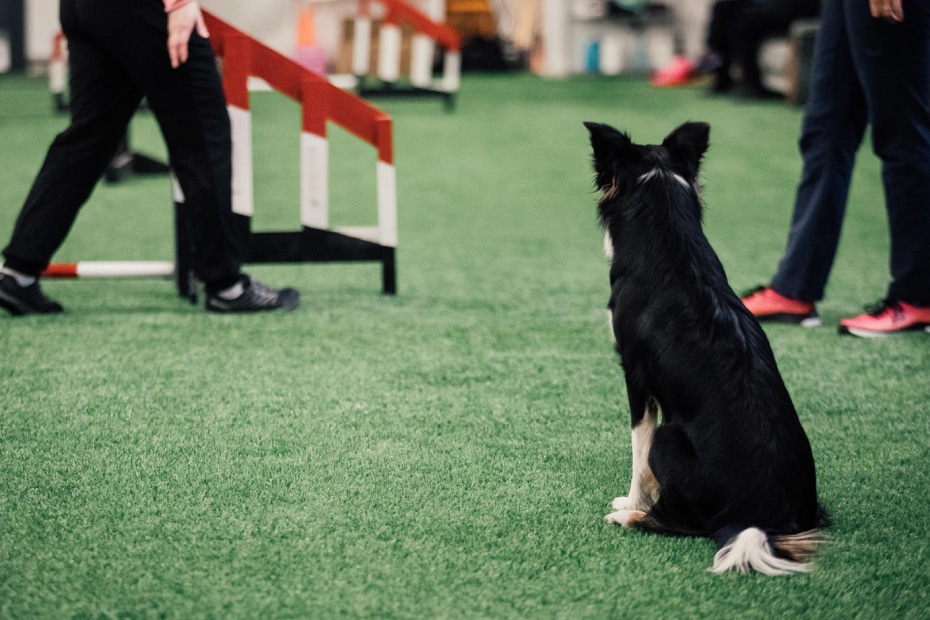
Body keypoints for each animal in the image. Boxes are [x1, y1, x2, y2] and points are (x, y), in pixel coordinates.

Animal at [588, 122, 828, 576]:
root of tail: (768, 519)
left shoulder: (636, 379)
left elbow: (638, 456)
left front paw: (631, 502)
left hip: (669, 438)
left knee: (685, 522)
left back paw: (631, 517)